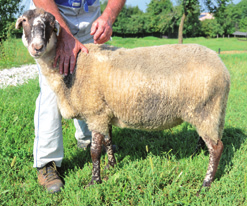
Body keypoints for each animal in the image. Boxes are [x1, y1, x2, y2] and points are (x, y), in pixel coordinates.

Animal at [16, 8, 231, 192]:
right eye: (24, 21)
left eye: (51, 24)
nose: (37, 47)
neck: (73, 68)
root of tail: (221, 66)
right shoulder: (105, 111)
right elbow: (108, 142)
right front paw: (111, 166)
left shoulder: (96, 113)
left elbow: (95, 151)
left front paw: (94, 182)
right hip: (208, 111)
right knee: (207, 140)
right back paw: (196, 155)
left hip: (206, 109)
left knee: (217, 147)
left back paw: (206, 183)